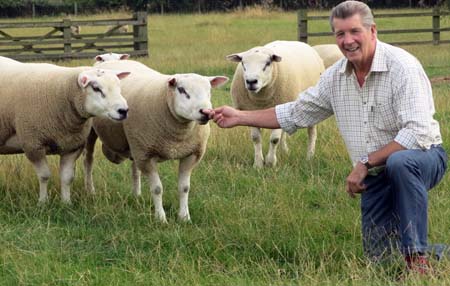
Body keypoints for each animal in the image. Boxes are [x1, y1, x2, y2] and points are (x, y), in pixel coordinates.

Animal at [0, 55, 130, 203]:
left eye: (119, 86)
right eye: (96, 88)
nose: (123, 111)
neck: (61, 91)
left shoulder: (72, 146)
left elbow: (67, 178)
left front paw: (66, 203)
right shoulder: (33, 144)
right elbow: (44, 176)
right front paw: (43, 202)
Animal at [83, 59, 229, 222]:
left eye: (209, 91)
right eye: (181, 90)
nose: (206, 112)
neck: (177, 137)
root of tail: (111, 60)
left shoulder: (191, 154)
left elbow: (184, 188)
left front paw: (184, 217)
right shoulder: (147, 155)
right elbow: (157, 189)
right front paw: (161, 218)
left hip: (137, 144)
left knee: (135, 170)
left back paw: (137, 195)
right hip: (95, 133)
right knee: (88, 161)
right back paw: (90, 190)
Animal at [227, 39, 326, 168]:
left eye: (268, 63)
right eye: (243, 63)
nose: (251, 82)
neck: (261, 100)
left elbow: (274, 139)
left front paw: (270, 162)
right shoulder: (250, 111)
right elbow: (256, 138)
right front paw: (258, 164)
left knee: (312, 133)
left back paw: (310, 156)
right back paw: (284, 151)